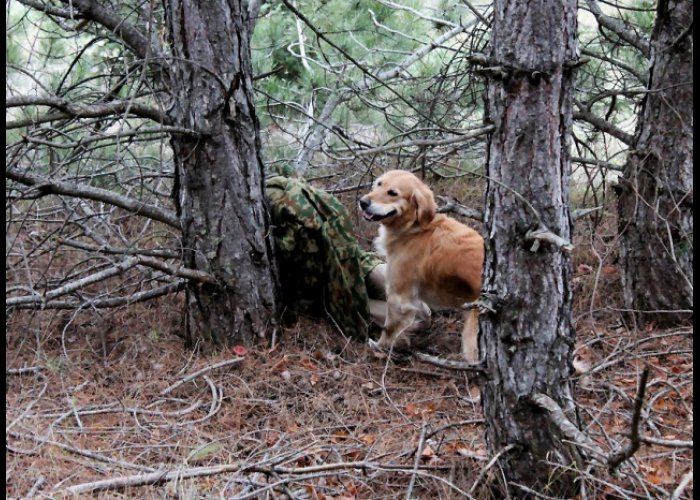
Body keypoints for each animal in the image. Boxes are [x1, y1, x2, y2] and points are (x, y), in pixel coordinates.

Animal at [358, 171, 484, 360]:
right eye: (379, 184)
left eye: (393, 193)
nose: (363, 202)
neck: (413, 228)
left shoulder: (398, 297)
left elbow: (389, 328)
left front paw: (380, 346)